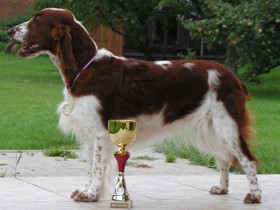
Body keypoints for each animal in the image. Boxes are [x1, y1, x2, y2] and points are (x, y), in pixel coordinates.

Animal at [7, 8, 262, 203]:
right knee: (224, 158)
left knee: (246, 158)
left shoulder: (100, 132)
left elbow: (97, 166)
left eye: (36, 20)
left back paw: (254, 195)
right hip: (211, 127)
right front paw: (89, 191)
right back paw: (222, 188)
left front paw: (91, 194)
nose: (9, 31)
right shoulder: (89, 132)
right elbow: (90, 166)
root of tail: (232, 75)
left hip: (226, 124)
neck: (85, 67)